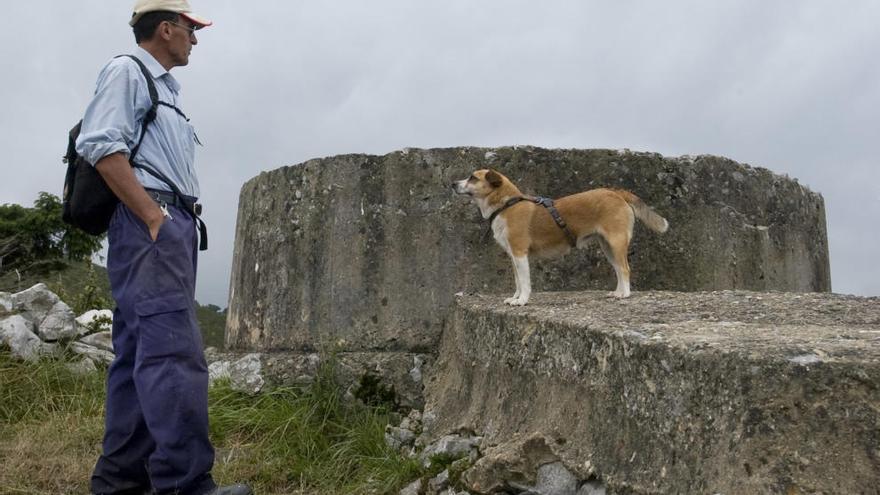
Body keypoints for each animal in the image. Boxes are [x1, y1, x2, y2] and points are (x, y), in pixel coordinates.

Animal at [450, 169, 672, 304]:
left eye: (473, 178)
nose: (452, 183)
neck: (506, 204)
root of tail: (617, 193)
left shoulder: (520, 253)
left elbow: (524, 281)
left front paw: (522, 301)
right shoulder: (513, 256)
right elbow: (517, 281)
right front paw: (515, 298)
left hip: (616, 241)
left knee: (625, 268)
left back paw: (625, 294)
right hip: (607, 246)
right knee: (618, 268)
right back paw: (617, 292)